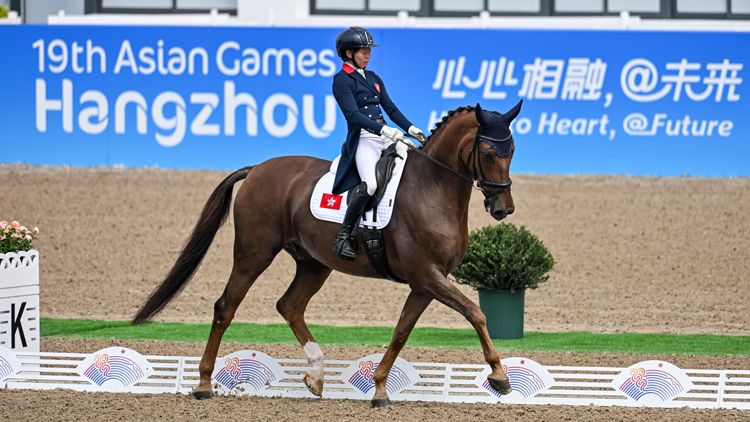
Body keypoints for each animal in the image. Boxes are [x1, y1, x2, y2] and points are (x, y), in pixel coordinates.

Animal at [132, 100, 524, 408]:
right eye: (489, 153)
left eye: (513, 151)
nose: (503, 209)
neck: (431, 187)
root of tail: (257, 168)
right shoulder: (427, 275)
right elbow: (476, 313)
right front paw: (499, 377)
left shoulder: (424, 282)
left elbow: (401, 332)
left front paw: (379, 389)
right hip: (253, 254)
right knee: (226, 307)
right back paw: (203, 384)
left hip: (313, 263)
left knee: (289, 305)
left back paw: (316, 375)